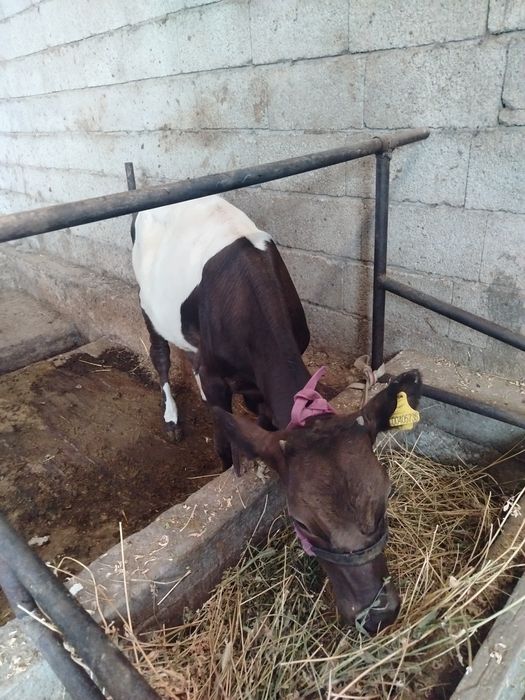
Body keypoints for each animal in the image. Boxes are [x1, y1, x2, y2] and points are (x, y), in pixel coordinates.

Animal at [131, 195, 422, 634]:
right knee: (160, 354)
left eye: (386, 496)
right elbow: (226, 440)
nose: (378, 613)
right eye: (301, 523)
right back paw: (171, 418)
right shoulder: (214, 378)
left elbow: (267, 425)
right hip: (147, 304)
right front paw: (228, 470)